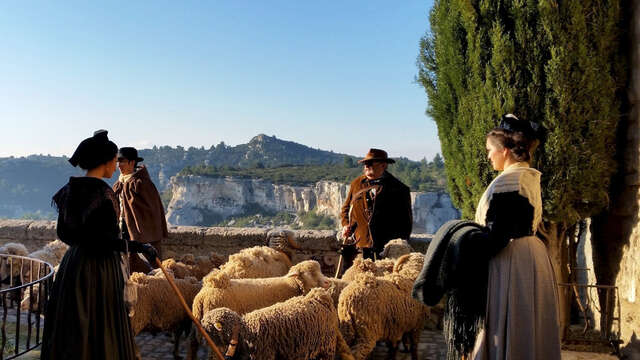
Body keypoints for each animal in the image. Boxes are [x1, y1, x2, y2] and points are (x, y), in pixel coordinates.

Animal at [202, 286, 356, 360]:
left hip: (326, 347)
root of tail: (319, 297)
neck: (244, 331)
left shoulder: (264, 355)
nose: (200, 323)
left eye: (208, 323)